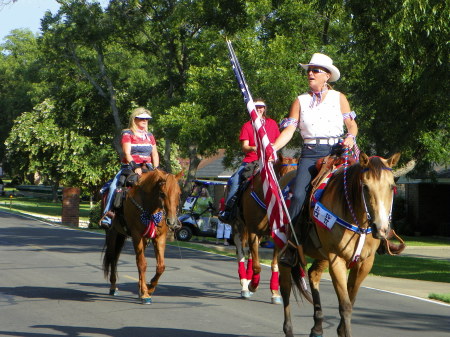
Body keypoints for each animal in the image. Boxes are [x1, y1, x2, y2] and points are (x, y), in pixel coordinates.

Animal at [103, 169, 182, 304]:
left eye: (179, 193)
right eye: (162, 193)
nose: (172, 221)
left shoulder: (159, 237)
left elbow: (160, 266)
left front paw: (149, 289)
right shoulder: (137, 235)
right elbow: (142, 264)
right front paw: (145, 293)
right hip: (113, 233)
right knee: (113, 257)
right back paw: (113, 287)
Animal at [232, 154, 298, 304]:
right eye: (284, 176)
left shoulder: (277, 235)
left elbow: (274, 264)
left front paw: (275, 293)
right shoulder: (252, 231)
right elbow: (257, 266)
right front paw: (252, 285)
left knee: (251, 254)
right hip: (238, 228)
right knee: (240, 253)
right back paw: (245, 284)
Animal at [280, 153, 400, 336]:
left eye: (391, 186)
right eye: (365, 186)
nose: (381, 228)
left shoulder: (365, 262)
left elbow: (351, 299)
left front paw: (341, 329)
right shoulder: (337, 260)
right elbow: (345, 305)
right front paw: (344, 331)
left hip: (322, 254)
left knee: (313, 274)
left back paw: (317, 327)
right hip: (281, 247)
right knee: (285, 287)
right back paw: (288, 328)